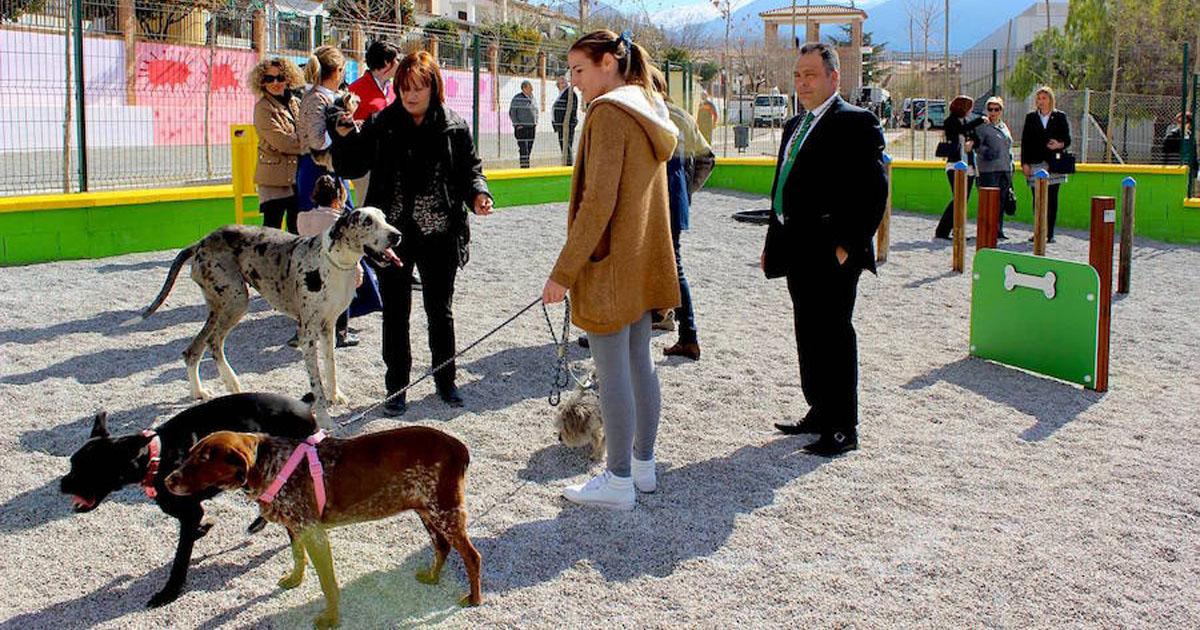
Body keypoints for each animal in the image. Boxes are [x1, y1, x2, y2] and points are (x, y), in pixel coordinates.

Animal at [61, 393, 316, 604]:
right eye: (72, 464)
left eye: (88, 471)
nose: (62, 484)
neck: (157, 457)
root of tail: (304, 405)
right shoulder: (187, 510)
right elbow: (193, 532)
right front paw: (203, 530)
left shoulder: (189, 512)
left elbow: (181, 556)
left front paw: (169, 591)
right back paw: (258, 523)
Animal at [165, 424, 482, 624]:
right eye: (190, 454)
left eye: (205, 459)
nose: (168, 480)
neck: (271, 465)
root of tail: (460, 447)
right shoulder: (296, 527)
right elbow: (298, 557)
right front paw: (295, 580)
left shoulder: (314, 532)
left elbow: (328, 583)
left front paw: (331, 618)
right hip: (427, 511)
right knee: (442, 547)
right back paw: (432, 577)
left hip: (445, 512)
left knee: (472, 556)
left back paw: (474, 599)